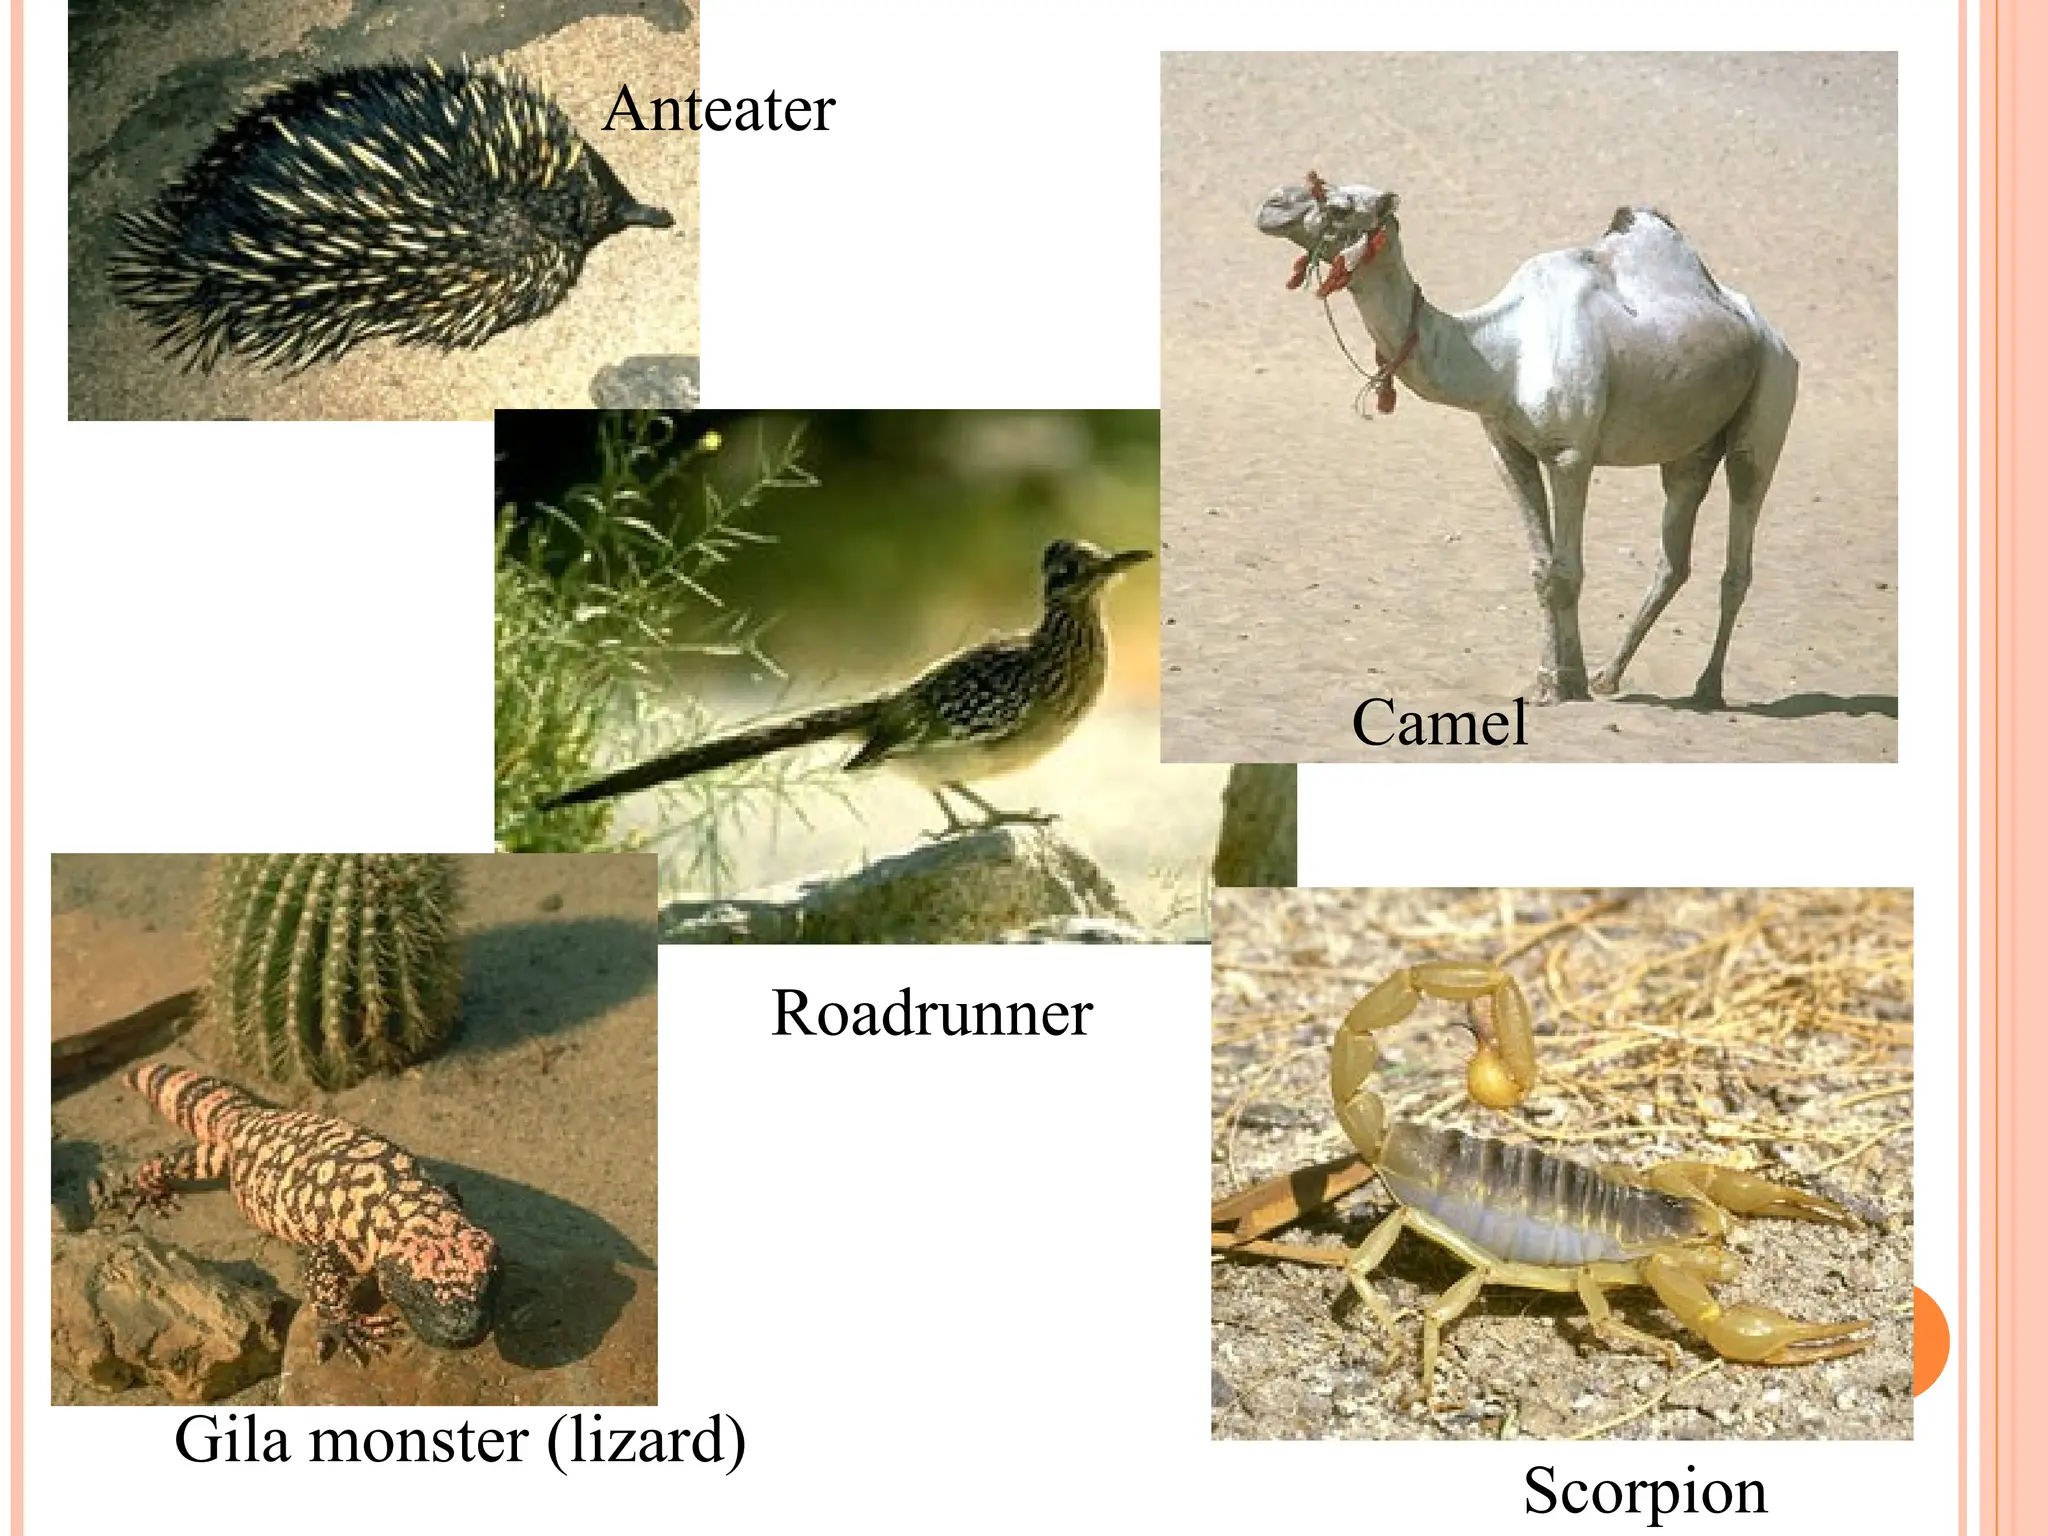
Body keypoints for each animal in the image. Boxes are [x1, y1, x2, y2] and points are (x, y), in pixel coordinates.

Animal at [1255, 175, 1798, 707]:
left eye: (1342, 207)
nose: (1271, 205)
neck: (1502, 354)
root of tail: (1767, 331)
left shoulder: (1571, 454)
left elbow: (1567, 572)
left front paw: (1564, 684)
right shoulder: (1507, 447)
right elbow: (1542, 572)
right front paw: (1553, 679)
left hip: (1769, 405)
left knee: (1739, 545)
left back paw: (1708, 688)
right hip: (1689, 449)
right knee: (1674, 558)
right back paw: (1609, 677)